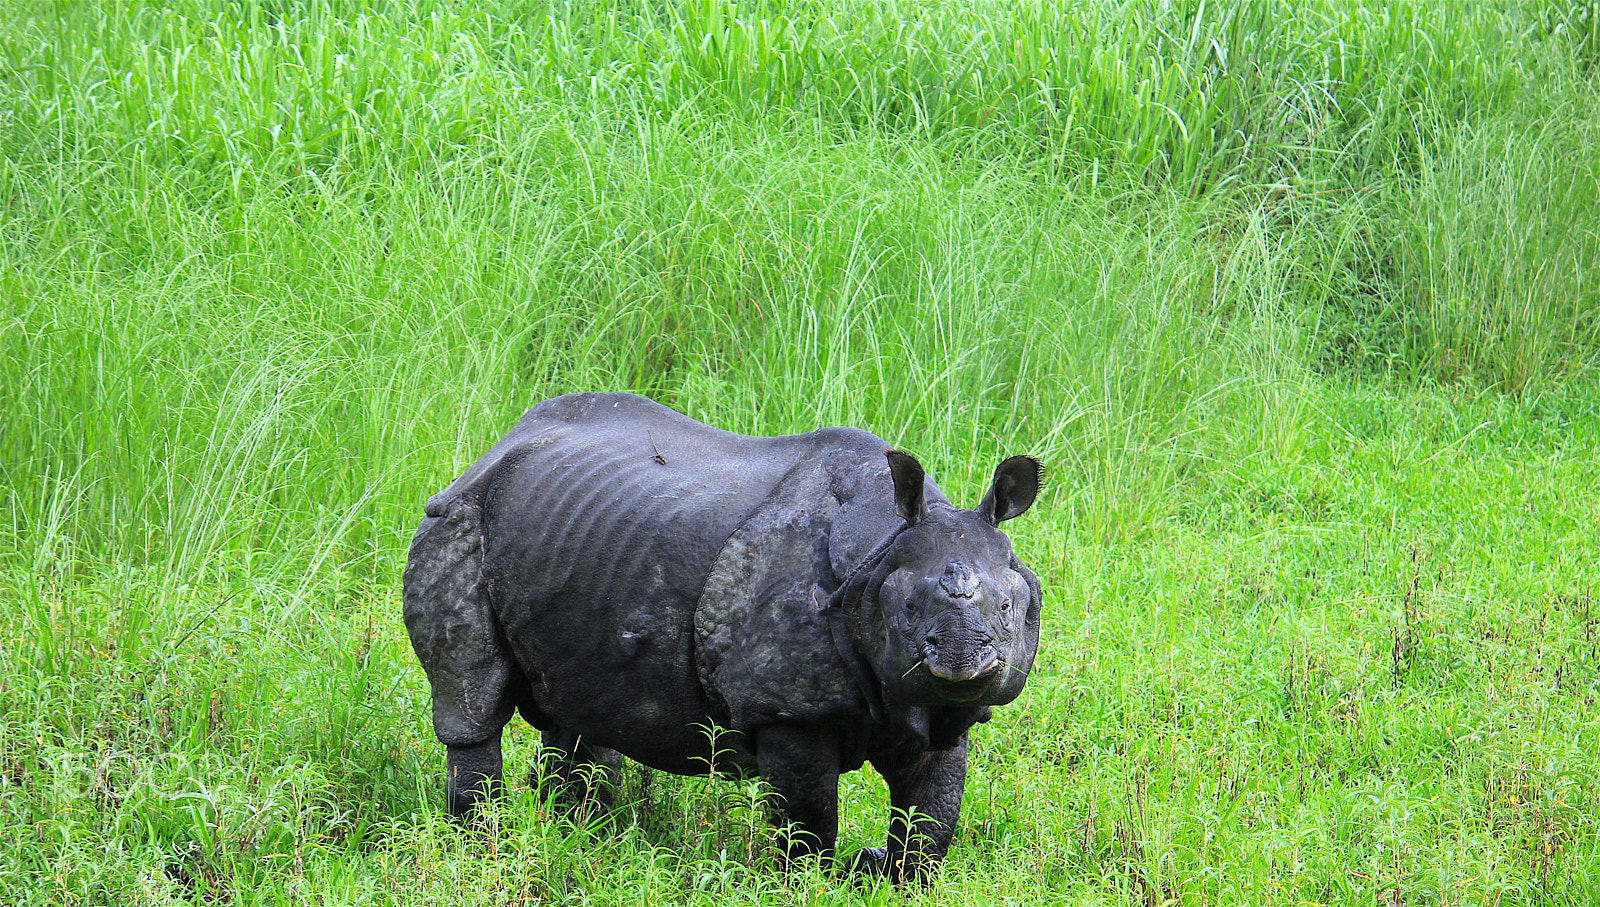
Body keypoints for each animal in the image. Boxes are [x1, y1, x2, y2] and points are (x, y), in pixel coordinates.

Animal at [403, 392, 1043, 882]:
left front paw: (881, 872)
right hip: (455, 516)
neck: (879, 551)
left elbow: (929, 823)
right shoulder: (787, 712)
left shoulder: (937, 708)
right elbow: (808, 824)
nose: (962, 660)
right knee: (473, 701)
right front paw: (807, 884)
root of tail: (497, 447)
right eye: (908, 608)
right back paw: (483, 846)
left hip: (574, 532)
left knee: (578, 715)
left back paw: (585, 843)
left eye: (1008, 608)